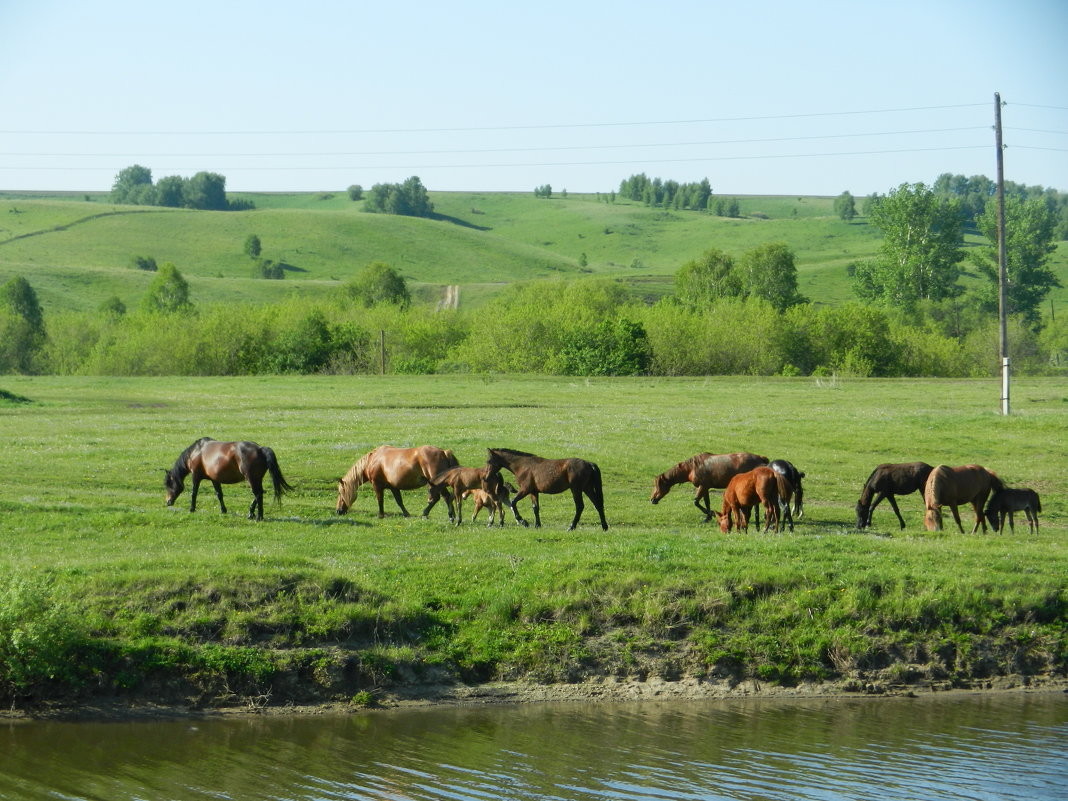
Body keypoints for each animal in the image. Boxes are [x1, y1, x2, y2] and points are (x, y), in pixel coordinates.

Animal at [162, 435, 290, 523]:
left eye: (169, 484)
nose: (168, 502)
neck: (196, 452)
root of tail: (260, 449)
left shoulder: (196, 476)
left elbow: (194, 493)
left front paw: (192, 509)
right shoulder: (214, 479)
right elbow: (219, 494)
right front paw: (223, 510)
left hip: (251, 479)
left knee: (258, 494)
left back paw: (258, 516)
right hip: (257, 479)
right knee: (260, 493)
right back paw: (251, 514)